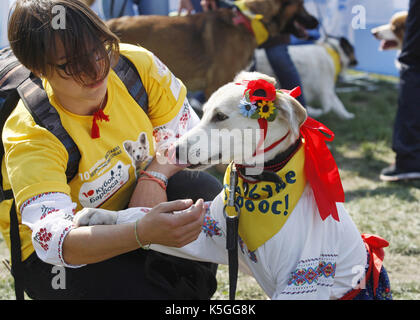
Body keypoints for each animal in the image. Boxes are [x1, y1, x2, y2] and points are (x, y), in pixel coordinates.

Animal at [73, 72, 390, 300]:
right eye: (204, 112)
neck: (260, 185)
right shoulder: (208, 233)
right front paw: (100, 216)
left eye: (221, 117)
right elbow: (140, 217)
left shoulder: (302, 277)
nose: (174, 151)